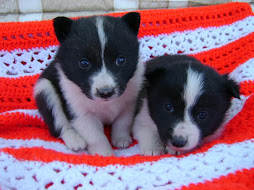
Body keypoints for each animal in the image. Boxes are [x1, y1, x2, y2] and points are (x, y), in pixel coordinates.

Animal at [34, 13, 144, 156]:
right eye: (84, 63)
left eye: (121, 60)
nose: (105, 92)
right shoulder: (80, 113)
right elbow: (95, 135)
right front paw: (104, 154)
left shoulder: (130, 102)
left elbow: (122, 122)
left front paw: (121, 139)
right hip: (45, 91)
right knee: (59, 125)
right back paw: (75, 141)